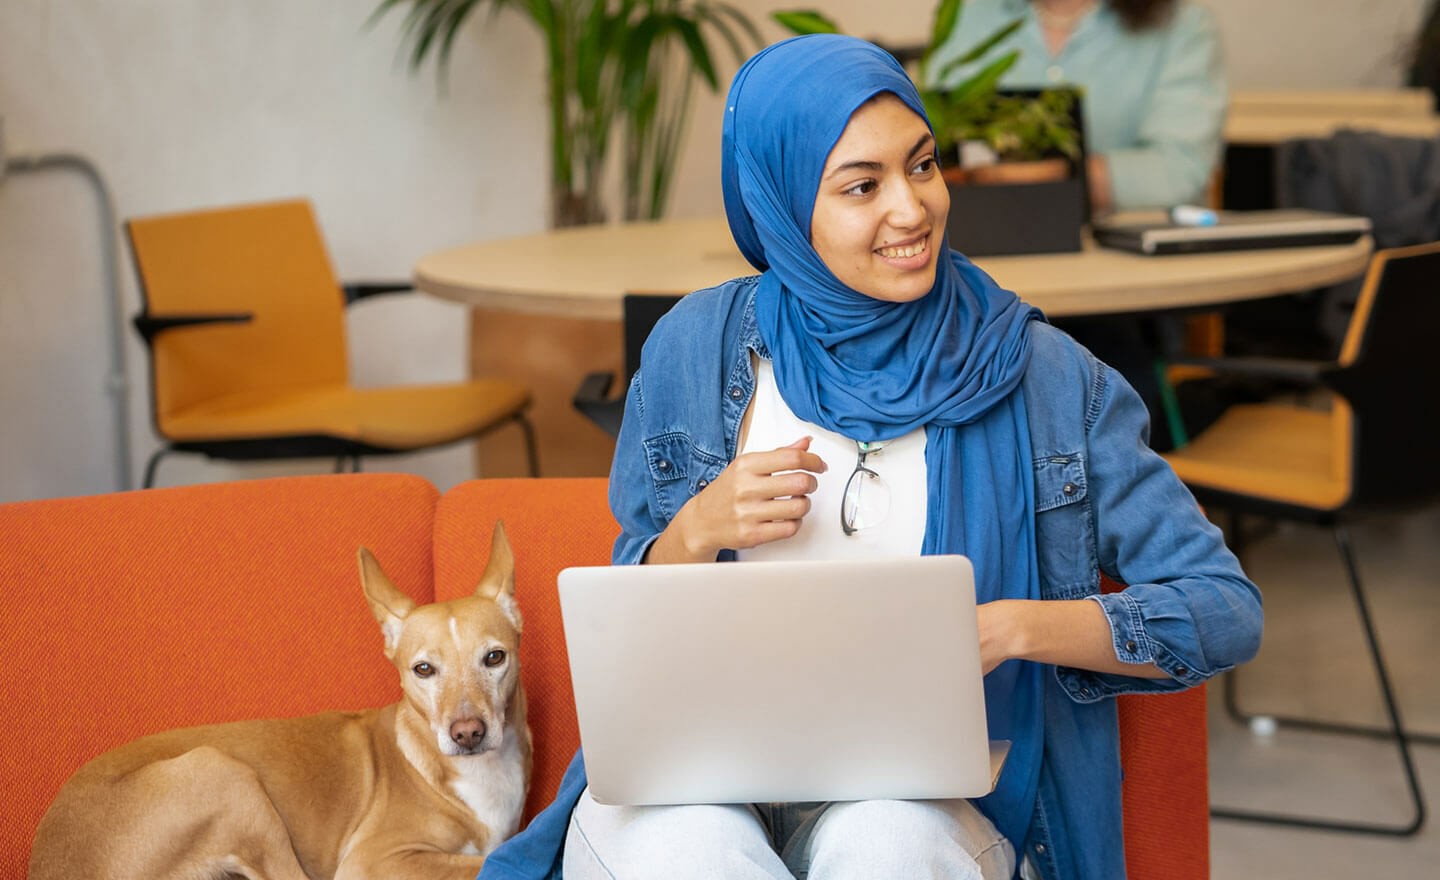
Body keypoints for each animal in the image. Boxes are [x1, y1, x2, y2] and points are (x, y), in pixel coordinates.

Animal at [28, 527, 532, 875]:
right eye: (423, 670)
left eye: (494, 658)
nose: (467, 734)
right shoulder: (372, 861)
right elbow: (480, 861)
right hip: (224, 776)